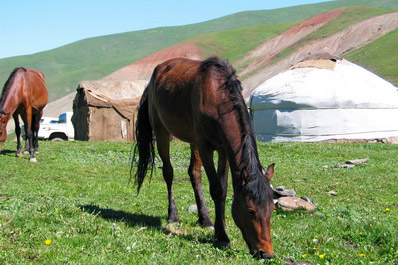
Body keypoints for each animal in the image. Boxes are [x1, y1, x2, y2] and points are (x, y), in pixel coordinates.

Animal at [132, 56, 276, 258]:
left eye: (272, 209)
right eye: (250, 210)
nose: (266, 253)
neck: (217, 97)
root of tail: (154, 77)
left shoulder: (223, 149)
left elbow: (223, 189)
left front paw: (218, 226)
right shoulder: (205, 147)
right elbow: (216, 188)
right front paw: (222, 236)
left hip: (193, 141)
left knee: (194, 173)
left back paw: (205, 219)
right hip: (162, 133)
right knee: (168, 172)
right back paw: (173, 216)